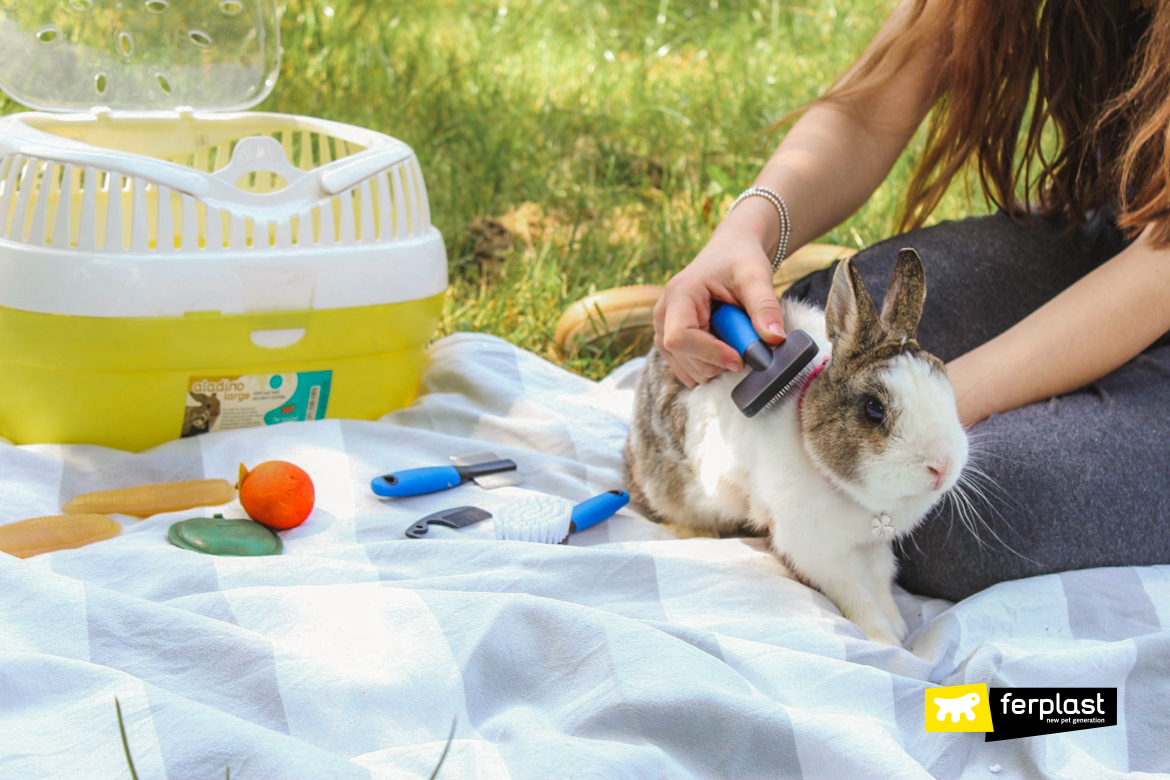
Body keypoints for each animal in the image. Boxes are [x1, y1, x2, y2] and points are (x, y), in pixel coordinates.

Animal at [627, 250, 973, 645]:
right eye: (874, 409)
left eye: (945, 386)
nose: (942, 466)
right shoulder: (819, 553)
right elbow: (858, 595)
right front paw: (884, 639)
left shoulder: (873, 547)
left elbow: (881, 582)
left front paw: (898, 627)